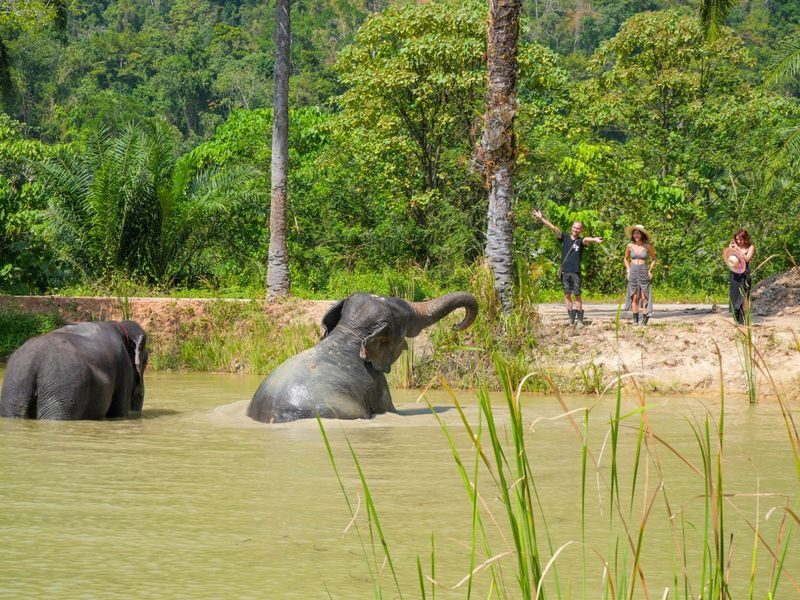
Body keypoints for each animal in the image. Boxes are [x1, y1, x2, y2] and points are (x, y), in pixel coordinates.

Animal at [0, 320, 148, 420]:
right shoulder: (123, 368)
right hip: (63, 388)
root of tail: (33, 365)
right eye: (146, 360)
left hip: (14, 389)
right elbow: (118, 411)